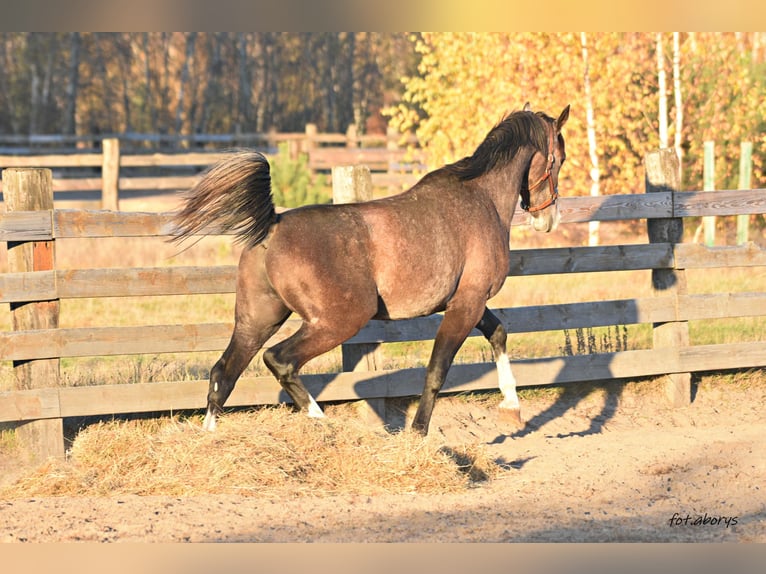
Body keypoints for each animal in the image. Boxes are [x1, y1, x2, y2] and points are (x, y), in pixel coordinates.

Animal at [174, 103, 568, 436]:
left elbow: (498, 333)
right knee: (279, 360)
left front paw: (512, 406)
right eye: (559, 159)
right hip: (338, 320)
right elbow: (437, 371)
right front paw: (418, 433)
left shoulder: (469, 301)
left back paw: (211, 435)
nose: (548, 219)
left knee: (223, 373)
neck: (480, 200)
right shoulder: (466, 304)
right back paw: (321, 420)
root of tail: (272, 225)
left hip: (258, 320)